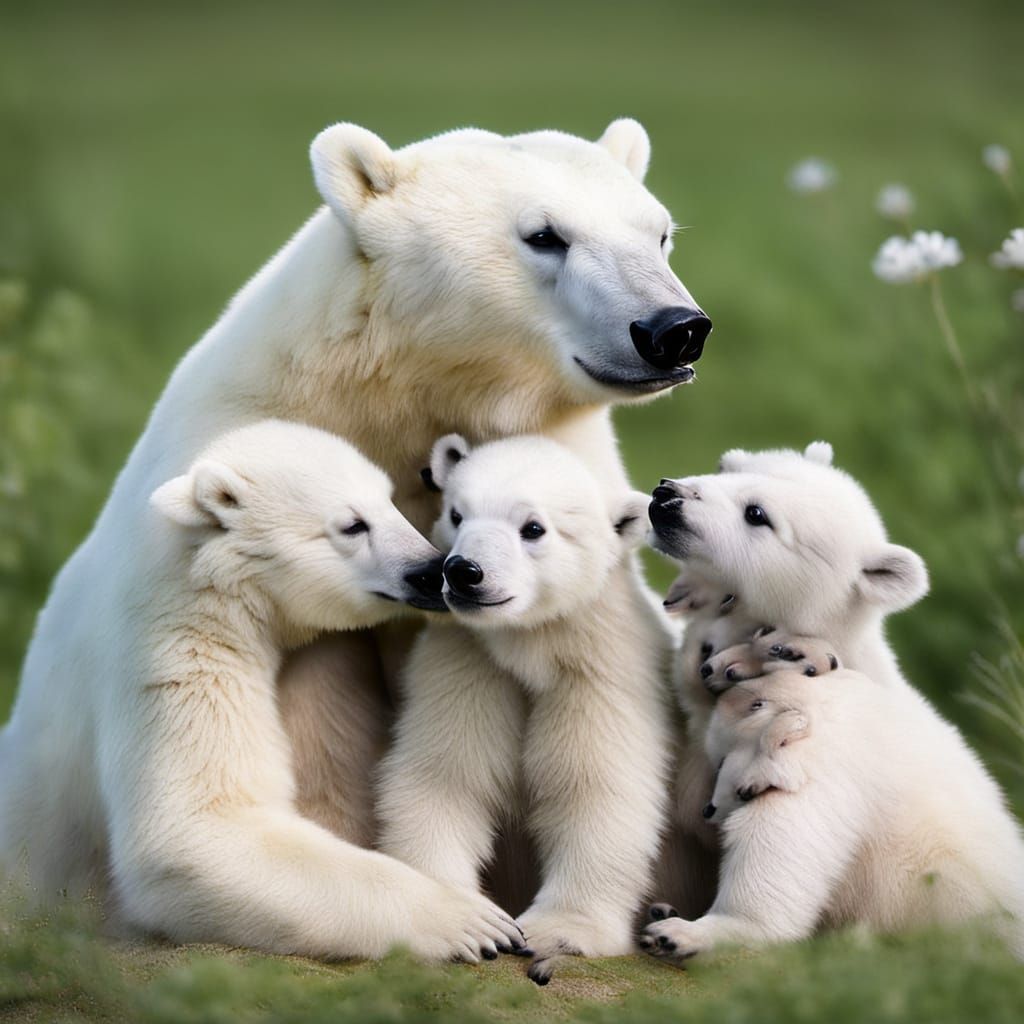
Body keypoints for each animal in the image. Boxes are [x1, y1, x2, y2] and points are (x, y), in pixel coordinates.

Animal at [0, 419, 529, 960]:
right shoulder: (171, 648)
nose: (430, 569)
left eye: (389, 502)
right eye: (353, 525)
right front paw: (475, 920)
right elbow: (199, 828)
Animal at [376, 434, 675, 984]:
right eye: (457, 514)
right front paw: (464, 920)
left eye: (532, 527)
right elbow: (444, 776)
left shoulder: (599, 674)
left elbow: (596, 791)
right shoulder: (472, 665)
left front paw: (556, 933)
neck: (529, 645)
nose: (463, 571)